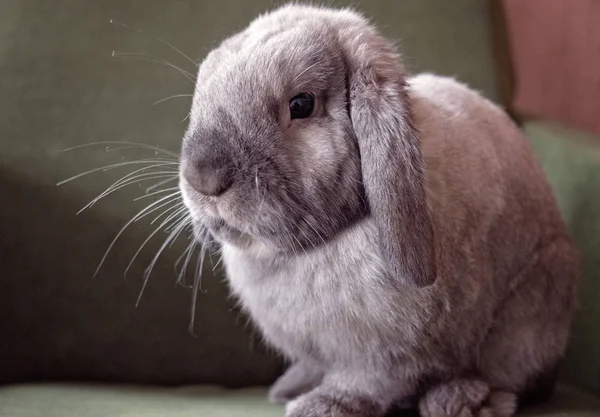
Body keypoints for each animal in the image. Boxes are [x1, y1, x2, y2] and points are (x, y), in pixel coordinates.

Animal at [178, 4, 580, 416]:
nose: (202, 175)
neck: (307, 249)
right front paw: (296, 388)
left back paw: (460, 400)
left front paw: (323, 405)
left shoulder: (386, 355)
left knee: (508, 379)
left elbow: (368, 381)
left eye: (301, 105)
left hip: (531, 312)